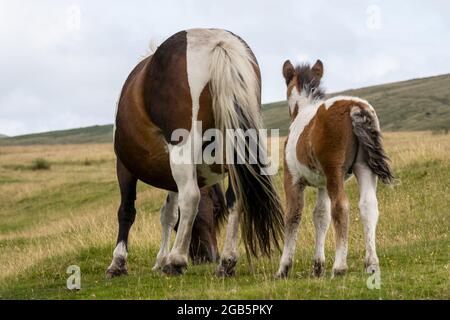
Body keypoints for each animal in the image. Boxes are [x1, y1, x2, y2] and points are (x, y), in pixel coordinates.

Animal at [106, 28, 282, 278]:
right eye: (216, 210)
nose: (209, 255)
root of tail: (218, 42)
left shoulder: (124, 165)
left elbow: (127, 211)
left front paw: (119, 262)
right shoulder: (170, 175)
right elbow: (169, 215)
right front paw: (159, 259)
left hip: (181, 149)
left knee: (190, 197)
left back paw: (177, 260)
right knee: (236, 197)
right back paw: (226, 262)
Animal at [274, 59, 394, 278]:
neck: (302, 112)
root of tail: (355, 106)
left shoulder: (292, 179)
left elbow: (293, 216)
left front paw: (283, 268)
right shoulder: (322, 184)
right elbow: (321, 216)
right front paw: (317, 266)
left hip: (334, 171)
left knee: (341, 206)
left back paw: (339, 266)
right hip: (364, 168)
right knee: (368, 205)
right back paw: (371, 263)